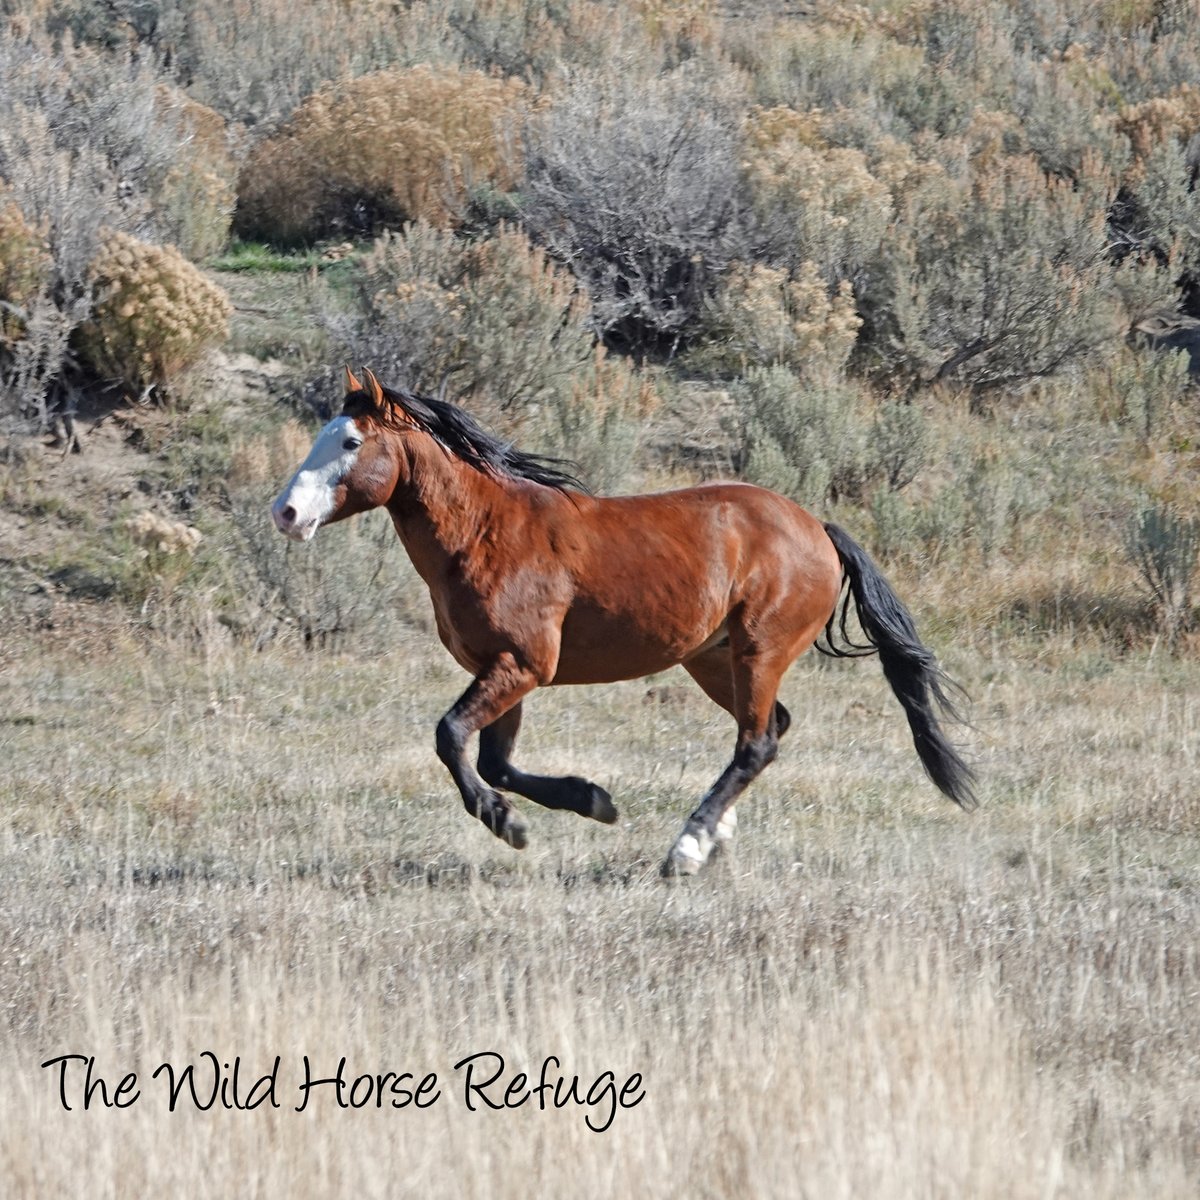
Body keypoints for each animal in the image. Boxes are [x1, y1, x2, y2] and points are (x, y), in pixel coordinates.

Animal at [271, 367, 975, 875]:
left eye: (351, 442)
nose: (286, 512)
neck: (484, 533)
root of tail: (818, 530)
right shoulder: (507, 669)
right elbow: (496, 760)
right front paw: (591, 801)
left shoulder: (521, 664)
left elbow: (451, 738)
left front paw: (508, 822)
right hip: (711, 660)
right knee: (770, 729)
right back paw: (714, 836)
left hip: (759, 650)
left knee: (756, 742)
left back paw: (686, 849)